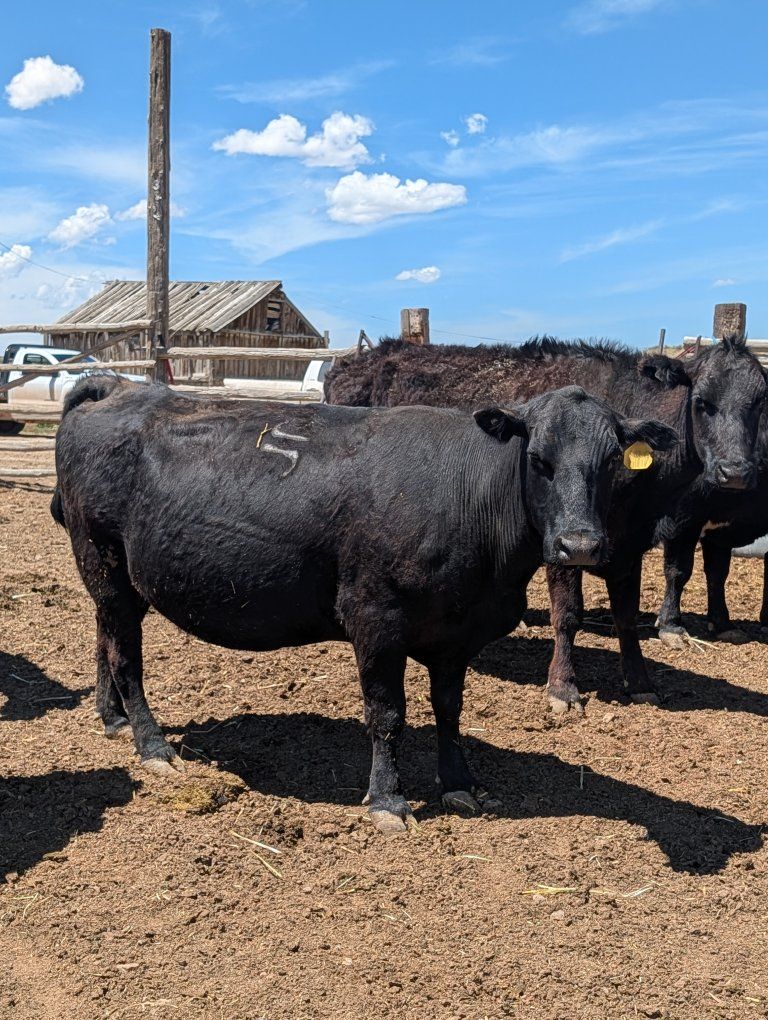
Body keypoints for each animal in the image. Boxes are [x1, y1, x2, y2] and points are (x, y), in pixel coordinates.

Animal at [52, 375, 674, 833]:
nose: (580, 546)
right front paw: (387, 801)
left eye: (611, 461)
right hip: (104, 562)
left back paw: (111, 718)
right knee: (126, 655)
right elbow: (387, 714)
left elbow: (449, 709)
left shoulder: (457, 633)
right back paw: (150, 742)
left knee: (105, 637)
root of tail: (120, 387)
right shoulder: (375, 618)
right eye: (540, 459)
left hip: (114, 580)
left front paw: (459, 784)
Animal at [324, 336, 767, 713]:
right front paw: (563, 687)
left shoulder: (628, 545)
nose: (735, 471)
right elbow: (568, 614)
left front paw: (640, 681)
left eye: (760, 403)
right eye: (703, 402)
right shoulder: (565, 543)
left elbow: (626, 614)